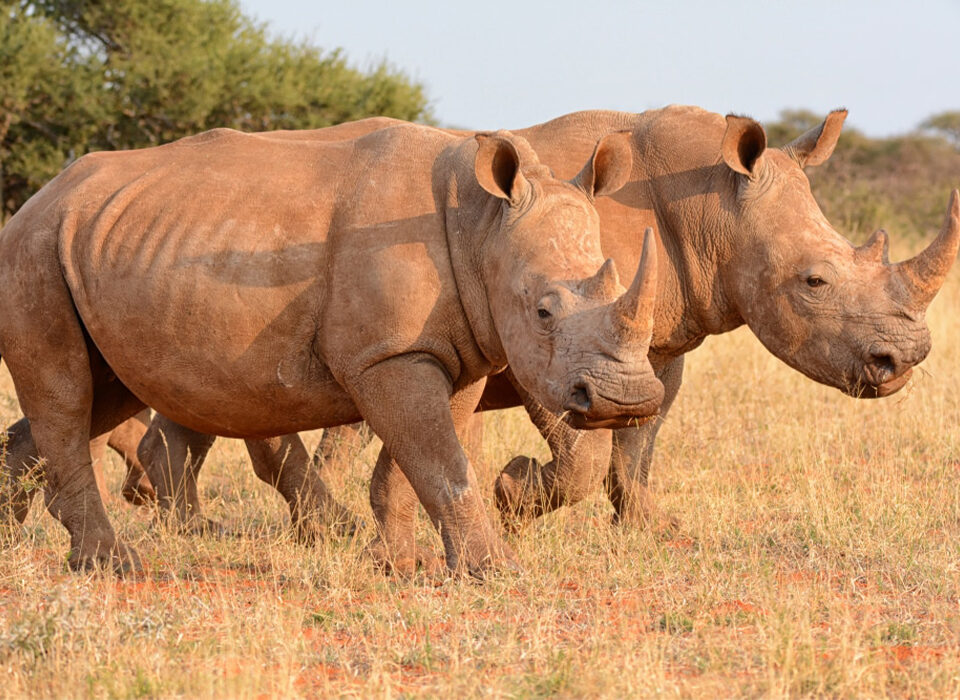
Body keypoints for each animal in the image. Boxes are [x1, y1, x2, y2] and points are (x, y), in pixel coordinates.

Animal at [0, 122, 666, 575]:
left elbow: (417, 462)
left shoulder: (453, 353)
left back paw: (11, 544)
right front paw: (495, 571)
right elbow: (442, 462)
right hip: (33, 249)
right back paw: (114, 565)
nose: (629, 401)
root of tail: (33, 200)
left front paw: (397, 565)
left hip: (95, 246)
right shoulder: (389, 354)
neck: (480, 225)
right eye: (543, 313)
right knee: (66, 395)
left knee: (100, 392)